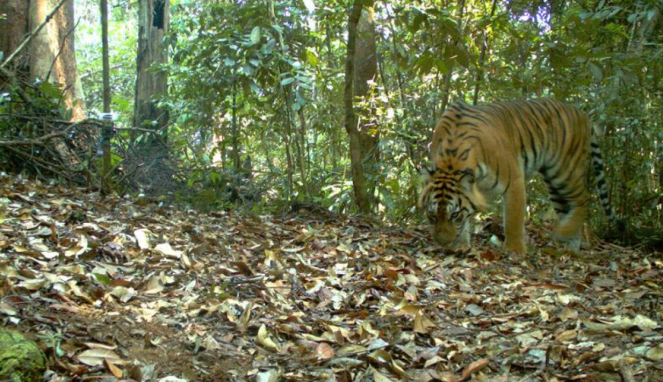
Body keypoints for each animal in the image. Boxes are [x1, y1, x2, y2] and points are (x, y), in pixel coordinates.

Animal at [420, 97, 616, 254]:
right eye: (432, 215)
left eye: (454, 215)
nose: (443, 243)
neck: (451, 161)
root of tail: (582, 114)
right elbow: (467, 221)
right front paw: (462, 245)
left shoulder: (514, 181)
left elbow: (513, 220)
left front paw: (514, 251)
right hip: (554, 183)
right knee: (568, 208)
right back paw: (569, 247)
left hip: (565, 171)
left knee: (584, 199)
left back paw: (563, 233)